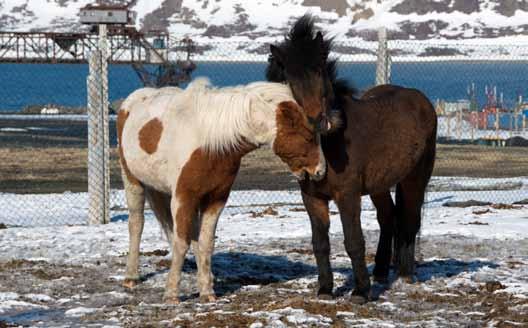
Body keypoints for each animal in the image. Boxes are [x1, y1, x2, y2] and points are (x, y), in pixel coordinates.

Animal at [118, 78, 328, 304]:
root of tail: (131, 101)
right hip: (132, 180)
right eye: (308, 137)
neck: (210, 143)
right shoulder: (183, 198)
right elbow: (181, 243)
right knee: (136, 224)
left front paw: (207, 291)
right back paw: (131, 277)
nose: (320, 171)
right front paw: (172, 294)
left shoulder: (215, 199)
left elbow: (205, 243)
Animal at [268, 15, 438, 302]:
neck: (331, 141)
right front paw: (325, 289)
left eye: (319, 70)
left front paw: (360, 291)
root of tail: (420, 99)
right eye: (289, 77)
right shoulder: (312, 197)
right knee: (388, 216)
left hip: (415, 177)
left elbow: (353, 241)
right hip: (380, 185)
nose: (317, 121)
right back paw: (380, 272)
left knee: (410, 220)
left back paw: (406, 274)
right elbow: (320, 243)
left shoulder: (347, 195)